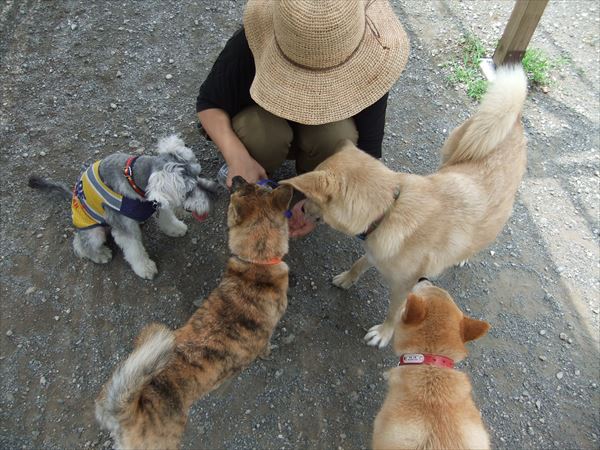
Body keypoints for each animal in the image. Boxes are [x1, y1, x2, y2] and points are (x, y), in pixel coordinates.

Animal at [28, 135, 218, 279]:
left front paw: (175, 228)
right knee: (81, 244)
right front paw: (145, 268)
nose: (214, 193)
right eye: (188, 190)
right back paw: (99, 254)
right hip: (94, 232)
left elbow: (167, 218)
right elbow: (135, 249)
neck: (134, 181)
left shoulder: (159, 203)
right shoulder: (124, 229)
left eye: (198, 174)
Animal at [95, 176, 293, 449]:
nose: (237, 178)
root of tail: (127, 410)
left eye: (258, 187)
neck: (256, 263)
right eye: (240, 191)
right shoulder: (267, 334)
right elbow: (266, 346)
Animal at [281, 66, 527, 347]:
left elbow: (394, 311)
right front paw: (347, 278)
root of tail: (515, 118)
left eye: (313, 200)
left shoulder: (405, 285)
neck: (390, 208)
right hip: (452, 152)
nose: (300, 210)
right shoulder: (375, 248)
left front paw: (384, 333)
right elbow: (359, 263)